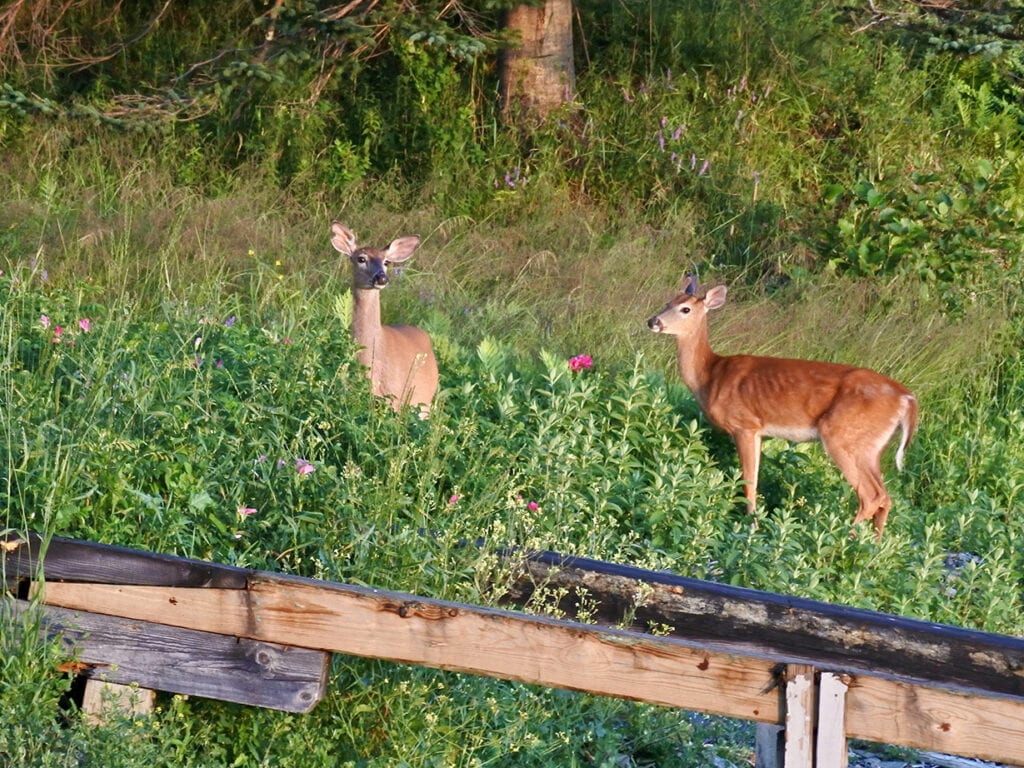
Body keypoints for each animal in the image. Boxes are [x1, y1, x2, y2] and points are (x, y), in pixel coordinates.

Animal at [643, 276, 917, 540]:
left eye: (685, 308)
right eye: (668, 302)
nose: (652, 321)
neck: (710, 375)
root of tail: (907, 399)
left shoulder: (744, 424)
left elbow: (749, 482)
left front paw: (751, 529)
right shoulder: (757, 431)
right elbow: (755, 478)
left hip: (843, 436)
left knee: (872, 496)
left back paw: (837, 539)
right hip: (870, 446)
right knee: (885, 497)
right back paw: (873, 546)